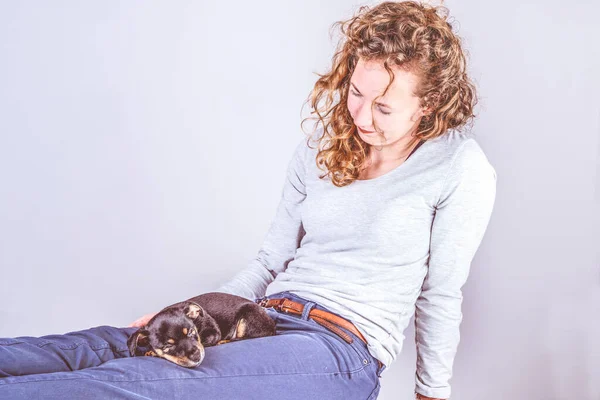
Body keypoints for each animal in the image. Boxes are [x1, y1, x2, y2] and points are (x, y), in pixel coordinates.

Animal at [128, 292, 276, 368]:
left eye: (191, 332)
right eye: (167, 346)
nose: (196, 356)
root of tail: (272, 326)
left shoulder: (213, 332)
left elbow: (203, 342)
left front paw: (153, 353)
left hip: (248, 316)